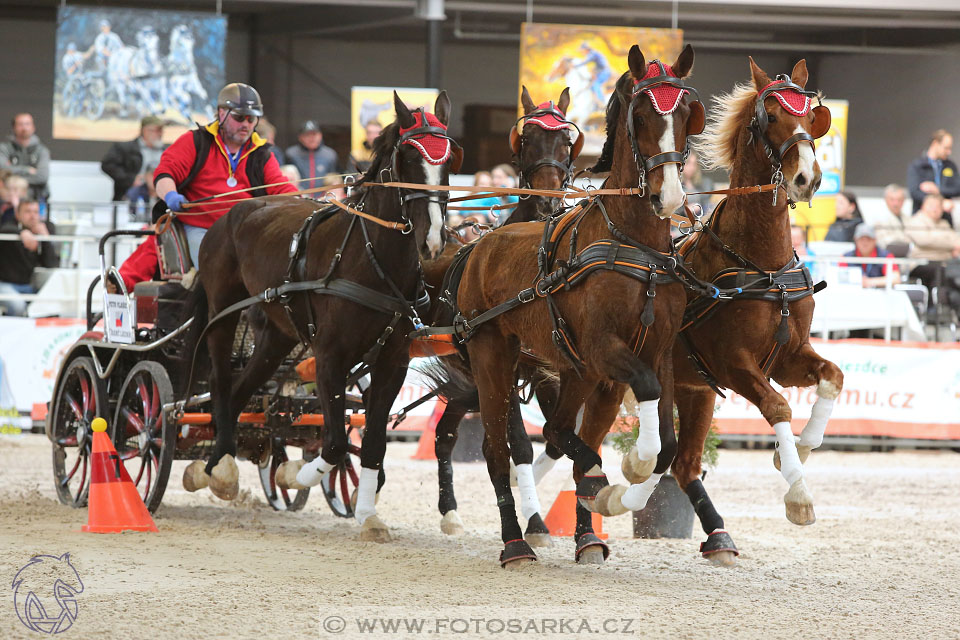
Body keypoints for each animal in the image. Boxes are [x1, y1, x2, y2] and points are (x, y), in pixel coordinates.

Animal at [183, 90, 462, 540]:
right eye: (407, 156)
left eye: (450, 157)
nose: (434, 240)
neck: (372, 260)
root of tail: (233, 212)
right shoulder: (331, 358)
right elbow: (333, 443)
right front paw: (295, 475)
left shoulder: (392, 363)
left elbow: (372, 443)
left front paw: (368, 514)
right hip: (223, 312)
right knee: (222, 385)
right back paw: (220, 463)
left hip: (276, 337)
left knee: (243, 390)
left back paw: (235, 453)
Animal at [422, 86, 584, 544]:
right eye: (526, 139)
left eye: (566, 140)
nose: (548, 200)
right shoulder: (509, 366)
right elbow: (521, 443)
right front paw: (535, 523)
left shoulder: (548, 370)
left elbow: (556, 438)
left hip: (470, 378)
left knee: (445, 434)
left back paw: (450, 512)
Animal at [450, 46, 704, 564]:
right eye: (641, 116)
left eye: (688, 113)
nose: (668, 195)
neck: (636, 247)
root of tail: (480, 244)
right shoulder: (603, 349)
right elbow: (645, 412)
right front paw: (631, 464)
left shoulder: (656, 352)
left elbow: (668, 445)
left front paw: (617, 491)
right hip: (494, 358)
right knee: (498, 450)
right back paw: (515, 542)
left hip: (579, 373)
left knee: (559, 431)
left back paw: (586, 527)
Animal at [668, 57, 840, 564]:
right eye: (771, 115)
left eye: (812, 116)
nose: (807, 178)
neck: (762, 266)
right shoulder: (733, 363)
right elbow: (778, 405)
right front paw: (799, 496)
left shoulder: (786, 357)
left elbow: (833, 376)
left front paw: (797, 453)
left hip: (690, 387)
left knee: (679, 462)